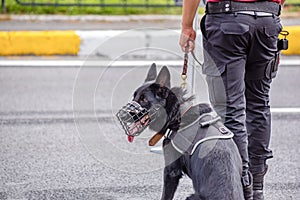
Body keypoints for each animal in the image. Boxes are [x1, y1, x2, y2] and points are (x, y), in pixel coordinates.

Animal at [119, 64, 244, 200]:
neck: (179, 113)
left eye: (144, 100)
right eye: (134, 97)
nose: (122, 115)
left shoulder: (171, 171)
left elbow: (165, 195)